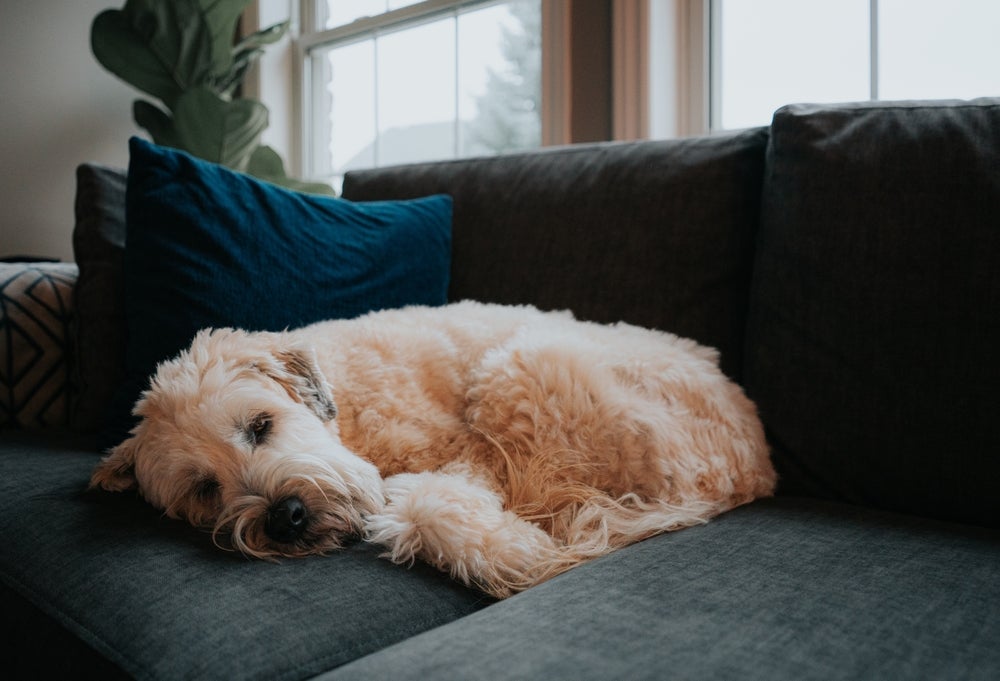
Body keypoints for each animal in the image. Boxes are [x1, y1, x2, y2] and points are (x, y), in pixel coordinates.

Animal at [90, 302, 776, 596]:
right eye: (204, 488)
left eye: (260, 425)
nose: (286, 518)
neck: (350, 407)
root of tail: (758, 466)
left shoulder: (469, 453)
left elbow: (431, 506)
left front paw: (513, 555)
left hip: (518, 368)